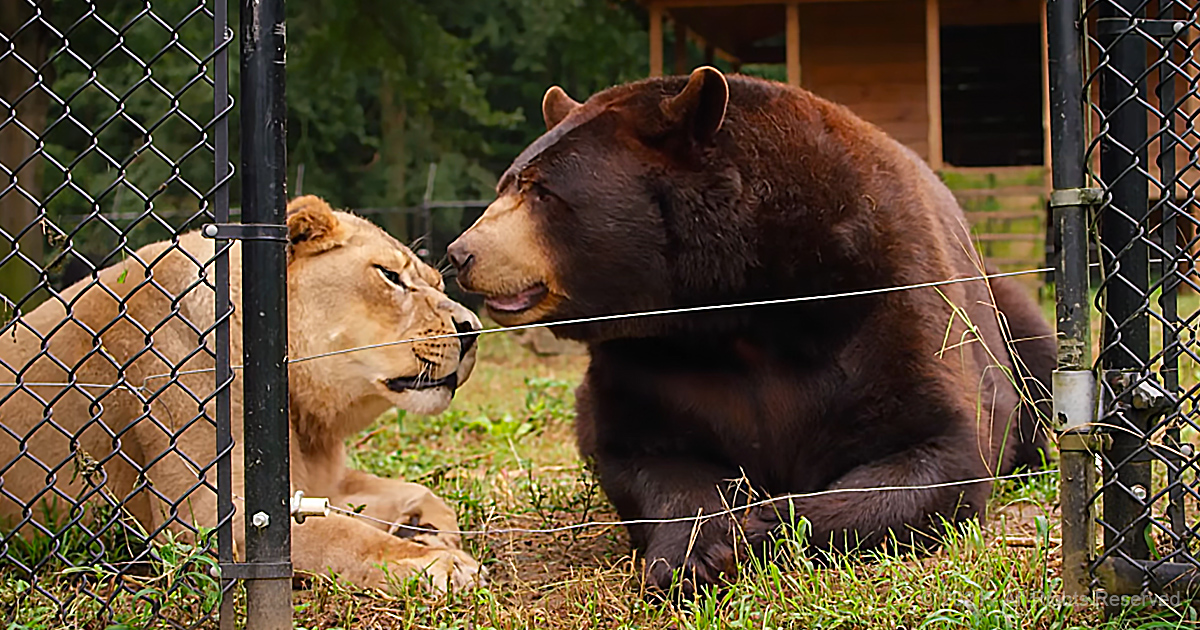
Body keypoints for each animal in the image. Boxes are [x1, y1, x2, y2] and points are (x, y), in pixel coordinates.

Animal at [0, 195, 482, 591]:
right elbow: (344, 534)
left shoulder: (319, 482)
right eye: (389, 276)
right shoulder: (206, 517)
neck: (302, 412)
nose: (472, 328)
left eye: (439, 284)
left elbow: (417, 491)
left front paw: (427, 527)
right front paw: (436, 562)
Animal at [447, 67, 1054, 595]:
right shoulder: (646, 357)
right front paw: (694, 550)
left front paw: (761, 526)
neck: (736, 305)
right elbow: (644, 452)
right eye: (508, 183)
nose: (460, 254)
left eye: (542, 191)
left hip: (1006, 313)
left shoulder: (887, 294)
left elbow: (939, 447)